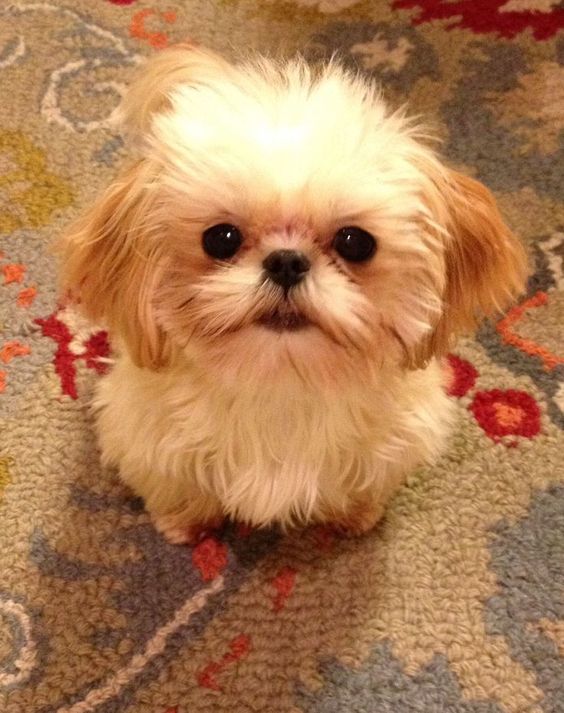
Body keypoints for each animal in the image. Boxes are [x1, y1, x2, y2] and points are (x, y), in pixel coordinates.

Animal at [58, 47, 528, 544]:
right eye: (220, 238)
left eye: (355, 242)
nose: (285, 262)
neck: (281, 388)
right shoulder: (148, 437)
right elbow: (180, 487)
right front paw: (186, 524)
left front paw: (354, 518)